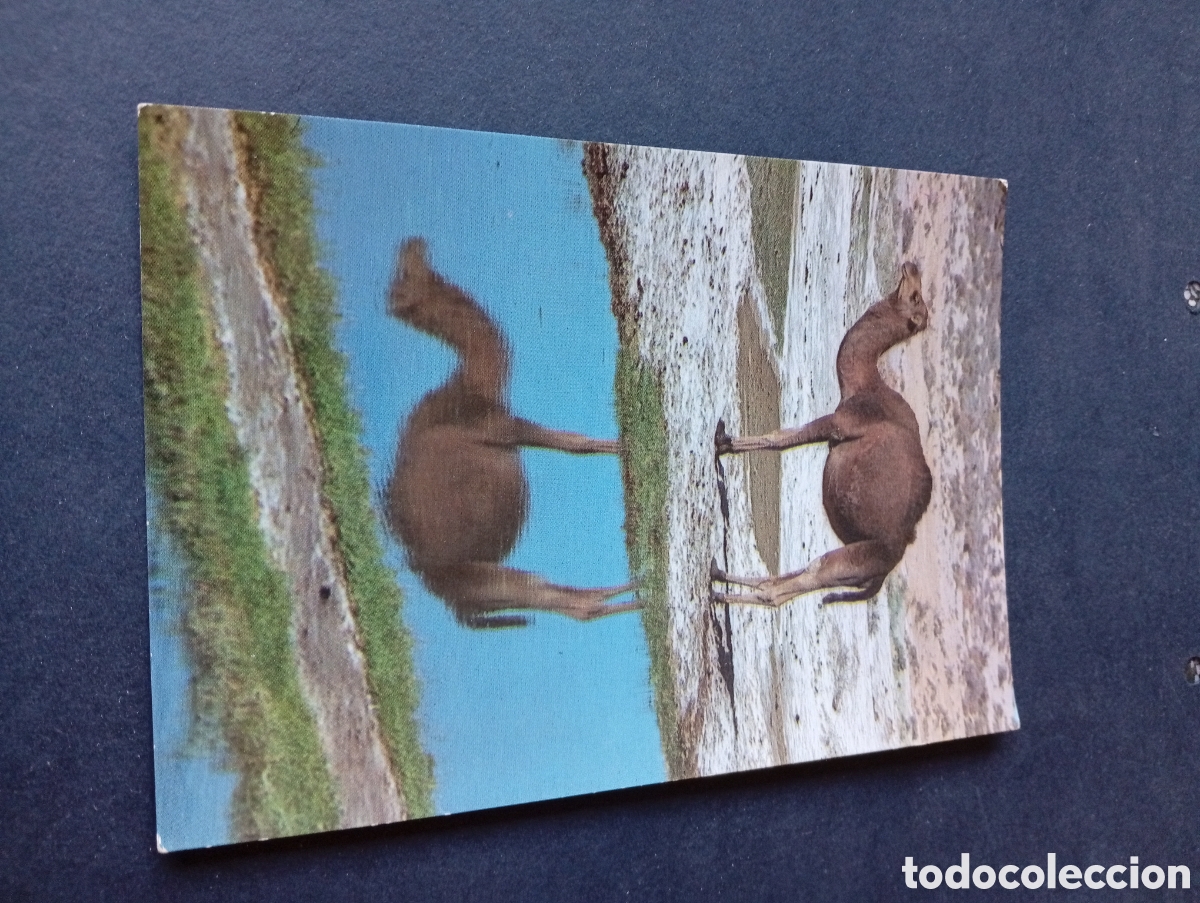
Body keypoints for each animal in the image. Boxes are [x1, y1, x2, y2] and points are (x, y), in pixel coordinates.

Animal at [383, 238, 640, 628]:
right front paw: (626, 447)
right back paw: (645, 594)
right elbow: (573, 443)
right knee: (568, 602)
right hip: (483, 579)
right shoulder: (498, 425)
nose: (414, 243)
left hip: (489, 588)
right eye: (406, 276)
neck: (470, 384)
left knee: (562, 598)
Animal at [711, 262, 933, 608]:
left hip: (855, 558)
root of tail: (888, 567)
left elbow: (781, 437)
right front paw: (723, 440)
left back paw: (720, 593)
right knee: (795, 576)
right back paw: (718, 574)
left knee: (792, 586)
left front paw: (722, 442)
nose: (912, 267)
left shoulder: (841, 422)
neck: (864, 383)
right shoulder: (834, 434)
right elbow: (785, 440)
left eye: (914, 296)